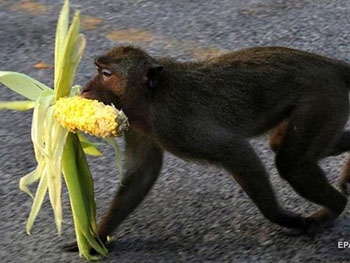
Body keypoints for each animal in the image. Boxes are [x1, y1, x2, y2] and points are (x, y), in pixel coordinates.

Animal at [65, 46, 350, 254]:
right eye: (99, 70)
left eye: (106, 74)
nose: (86, 88)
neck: (151, 99)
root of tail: (332, 66)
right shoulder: (137, 125)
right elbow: (141, 175)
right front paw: (97, 238)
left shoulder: (177, 126)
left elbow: (236, 151)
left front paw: (280, 216)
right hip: (328, 105)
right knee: (283, 147)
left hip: (320, 100)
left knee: (290, 164)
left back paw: (334, 207)